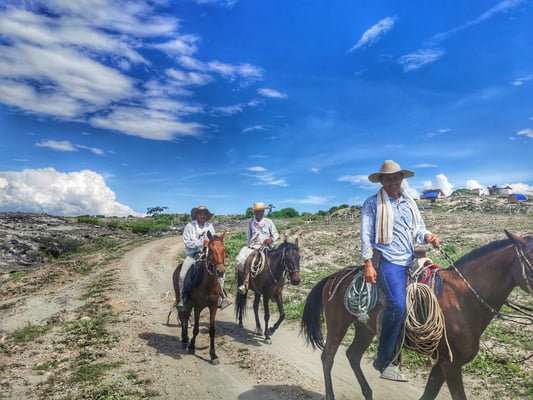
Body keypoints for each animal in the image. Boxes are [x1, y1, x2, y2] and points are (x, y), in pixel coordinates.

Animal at [167, 231, 223, 366]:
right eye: (211, 250)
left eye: (224, 249)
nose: (220, 271)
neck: (208, 284)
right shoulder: (198, 306)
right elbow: (196, 328)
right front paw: (192, 346)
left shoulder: (213, 306)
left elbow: (212, 330)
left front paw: (213, 355)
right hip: (182, 299)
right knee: (183, 316)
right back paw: (184, 340)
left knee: (185, 317)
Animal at [302, 231, 528, 400]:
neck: (462, 298)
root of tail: (333, 277)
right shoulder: (451, 364)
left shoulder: (442, 363)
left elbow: (429, 393)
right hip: (337, 325)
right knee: (327, 357)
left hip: (364, 329)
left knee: (353, 355)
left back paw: (368, 392)